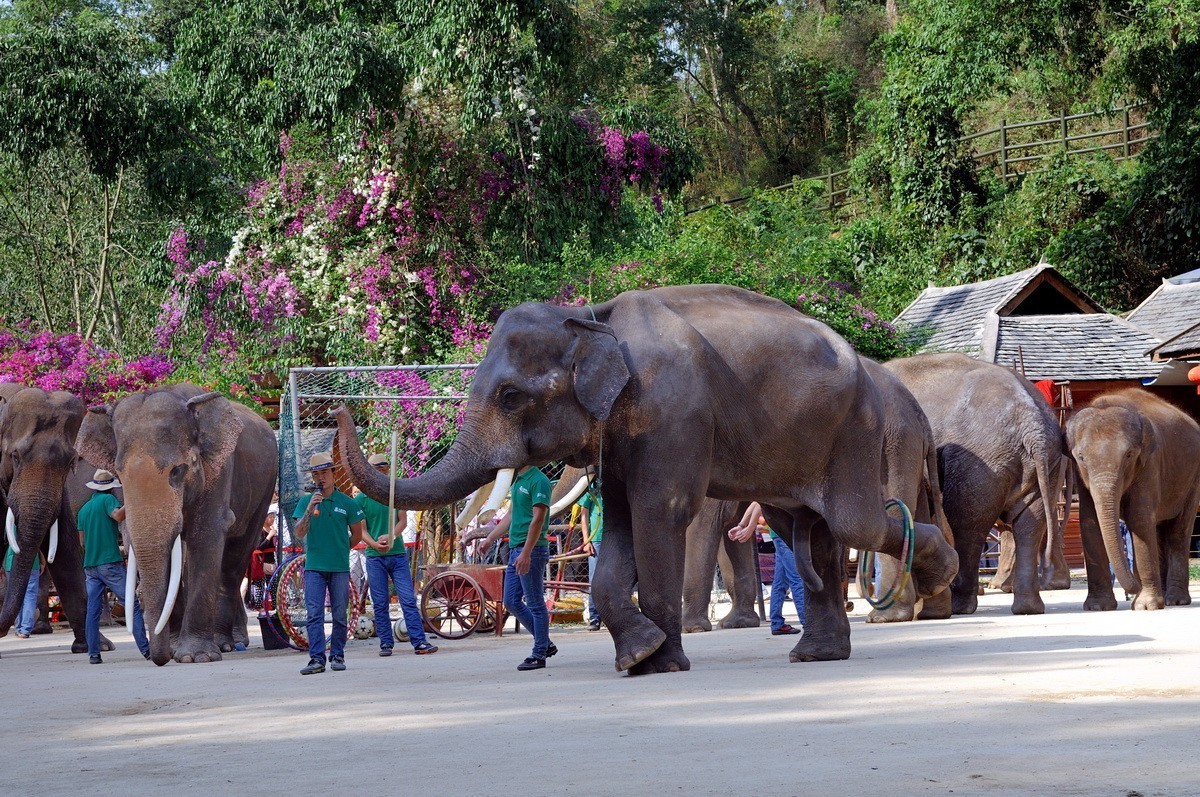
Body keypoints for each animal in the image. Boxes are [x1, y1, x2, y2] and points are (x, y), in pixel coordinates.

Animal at [76, 384, 277, 662]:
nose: (159, 659)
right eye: (119, 475)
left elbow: (205, 536)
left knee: (235, 558)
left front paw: (196, 656)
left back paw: (226, 643)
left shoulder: (218, 471)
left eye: (177, 471)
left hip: (265, 489)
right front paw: (174, 650)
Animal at [883, 352, 1070, 614]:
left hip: (979, 463)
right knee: (1031, 524)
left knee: (967, 524)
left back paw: (961, 605)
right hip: (1047, 462)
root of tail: (1033, 425)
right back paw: (1028, 608)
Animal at [1065, 386, 1195, 609]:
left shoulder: (1149, 463)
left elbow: (1139, 518)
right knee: (1159, 529)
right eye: (1081, 457)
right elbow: (1090, 521)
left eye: (1129, 455)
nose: (1131, 591)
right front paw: (1097, 607)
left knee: (1178, 532)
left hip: (1193, 479)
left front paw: (1146, 606)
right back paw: (1165, 598)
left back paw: (1175, 600)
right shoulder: (1081, 477)